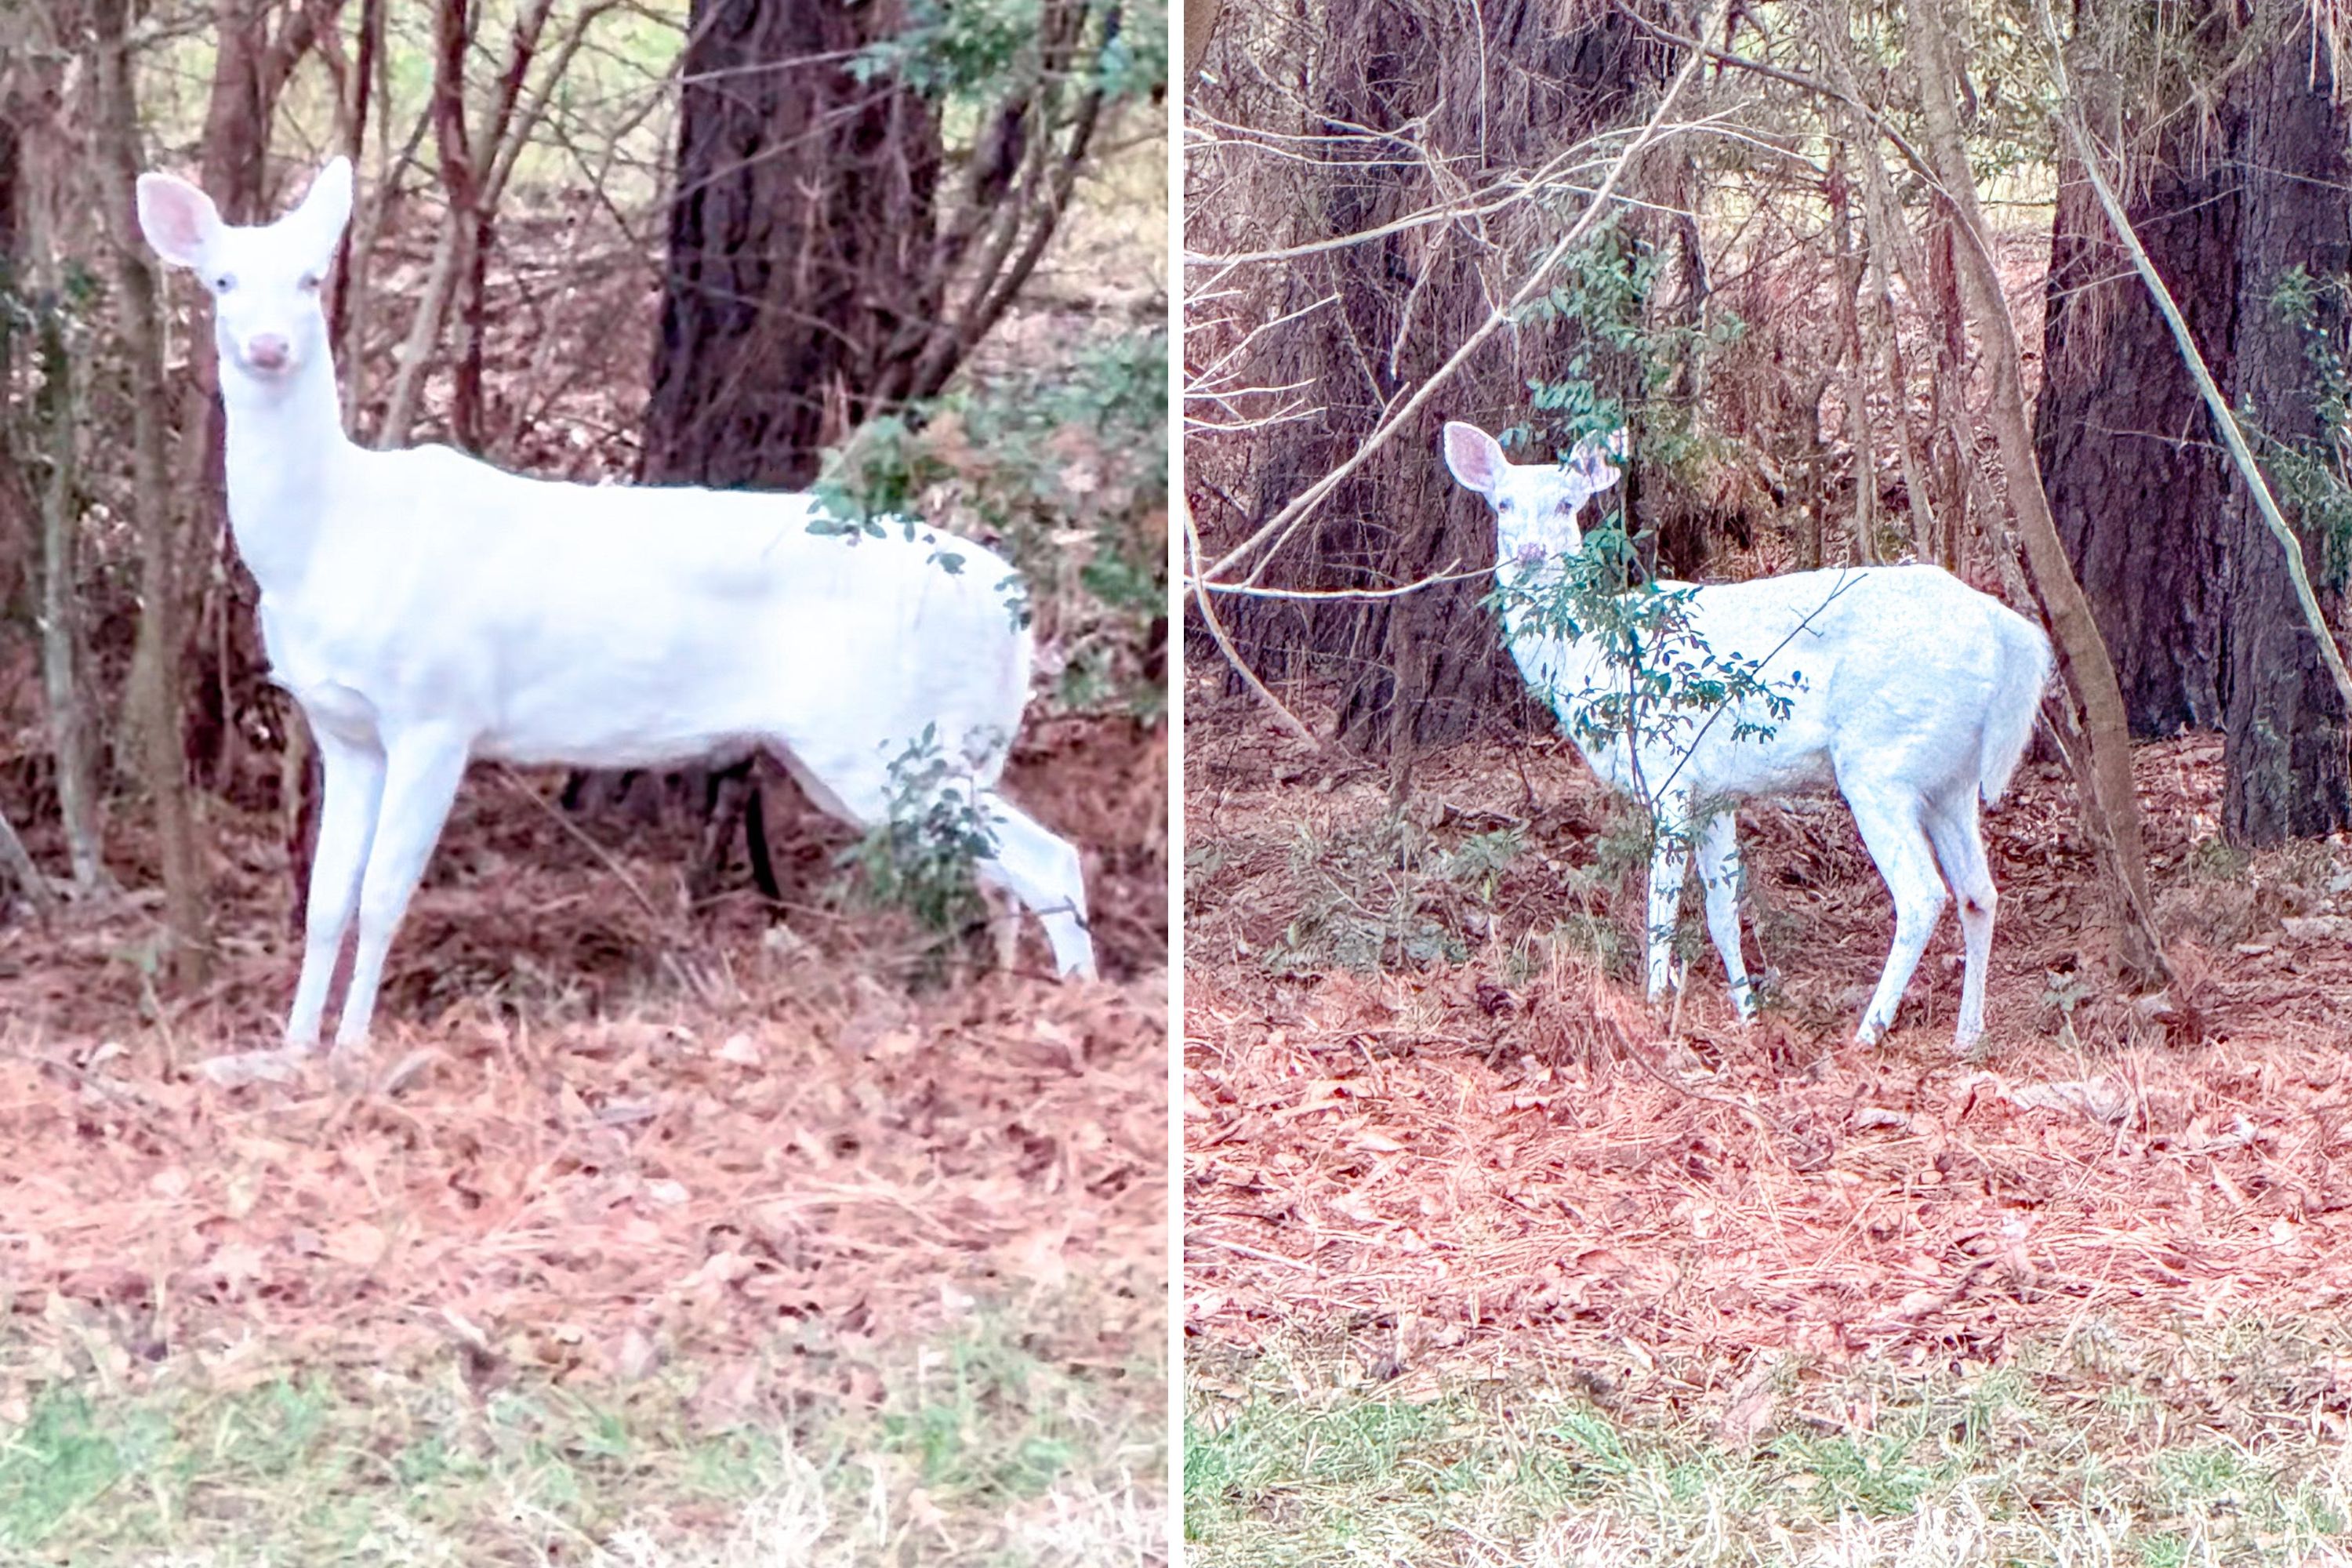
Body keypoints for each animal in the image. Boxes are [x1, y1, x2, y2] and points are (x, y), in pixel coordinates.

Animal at [137, 156, 1096, 1061]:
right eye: (221, 280)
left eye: (309, 278)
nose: (267, 346)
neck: (332, 538)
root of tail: (1014, 604)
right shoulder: (344, 728)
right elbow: (326, 899)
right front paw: (296, 1045)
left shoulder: (438, 711)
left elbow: (382, 896)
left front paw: (353, 1046)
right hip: (885, 753)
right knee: (1001, 872)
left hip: (886, 737)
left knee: (1050, 859)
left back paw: (1075, 1005)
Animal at [1442, 421, 2053, 1050]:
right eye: (1503, 503)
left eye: (1567, 503)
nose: (1531, 553)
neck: (1589, 657)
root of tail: (2003, 628)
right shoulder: (1716, 793)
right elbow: (1722, 914)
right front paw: (1745, 1011)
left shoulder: (1668, 769)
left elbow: (1662, 906)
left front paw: (1655, 1002)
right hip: (1949, 777)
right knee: (1980, 893)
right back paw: (1967, 1034)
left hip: (1881, 758)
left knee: (1923, 894)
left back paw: (1868, 1031)